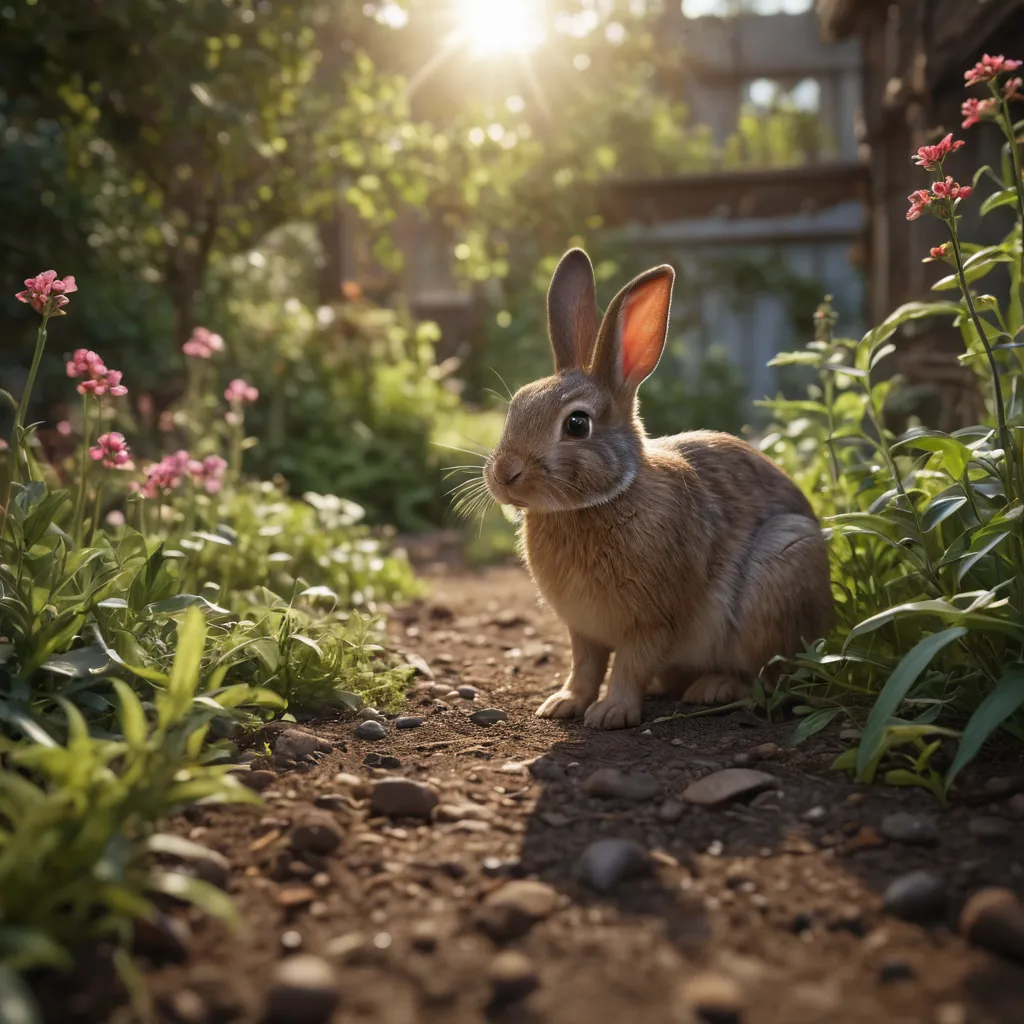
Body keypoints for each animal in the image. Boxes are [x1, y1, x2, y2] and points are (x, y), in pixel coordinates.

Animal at [483, 248, 833, 730]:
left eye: (577, 424)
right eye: (516, 405)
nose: (504, 474)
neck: (604, 498)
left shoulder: (651, 622)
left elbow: (629, 665)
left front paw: (610, 713)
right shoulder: (583, 629)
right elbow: (585, 666)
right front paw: (563, 704)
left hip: (781, 574)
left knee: (767, 676)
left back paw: (713, 688)